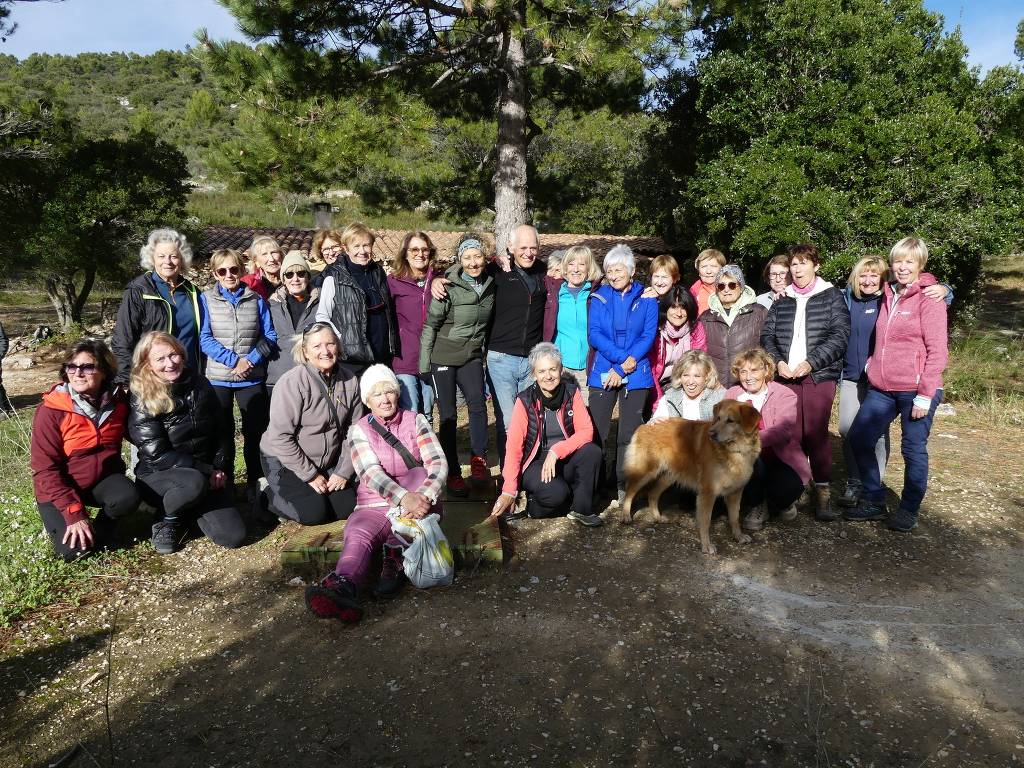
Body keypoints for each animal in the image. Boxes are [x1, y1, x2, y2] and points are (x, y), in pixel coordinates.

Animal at [614, 399, 761, 557]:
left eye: (730, 421)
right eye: (718, 418)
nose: (711, 434)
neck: (735, 450)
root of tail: (645, 425)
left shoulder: (736, 492)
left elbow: (735, 518)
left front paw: (738, 536)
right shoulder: (707, 493)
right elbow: (705, 521)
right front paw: (706, 545)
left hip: (668, 476)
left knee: (652, 494)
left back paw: (658, 517)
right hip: (645, 472)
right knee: (630, 491)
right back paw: (625, 515)